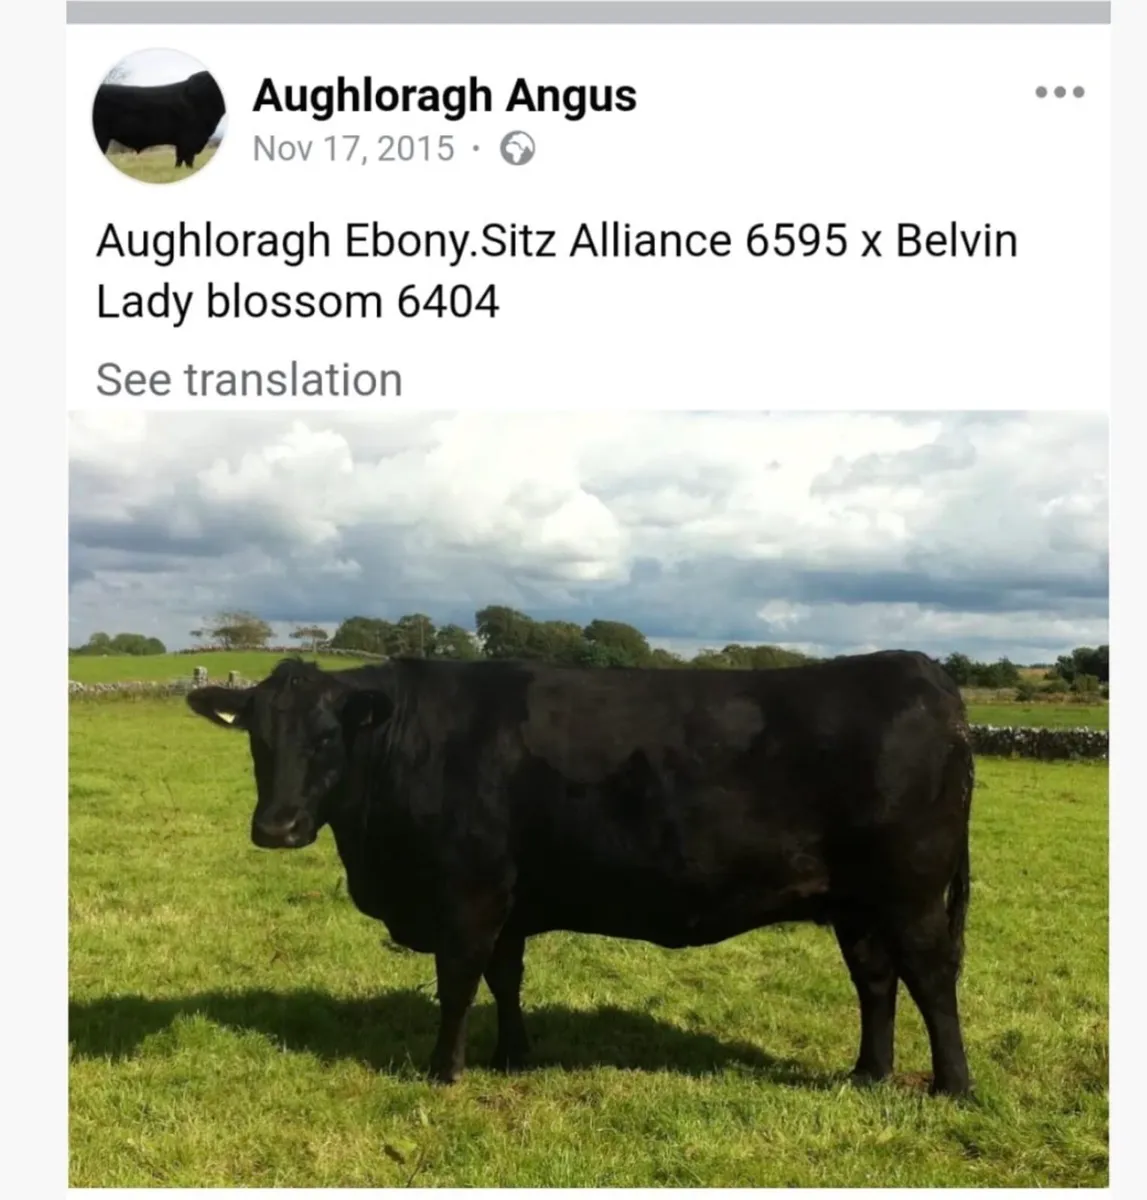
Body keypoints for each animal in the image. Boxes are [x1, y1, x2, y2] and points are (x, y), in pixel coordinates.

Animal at [187, 650, 974, 1096]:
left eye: (328, 736)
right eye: (256, 737)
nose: (277, 828)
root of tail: (919, 670)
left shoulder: (466, 893)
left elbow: (456, 985)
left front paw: (443, 1071)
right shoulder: (508, 898)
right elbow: (505, 979)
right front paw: (512, 1056)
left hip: (910, 891)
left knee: (931, 978)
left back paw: (952, 1086)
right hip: (856, 902)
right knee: (876, 980)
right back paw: (867, 1074)